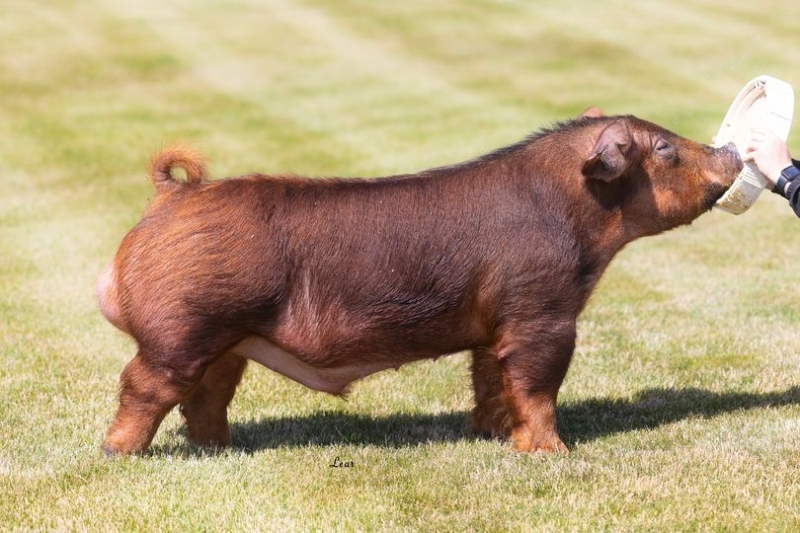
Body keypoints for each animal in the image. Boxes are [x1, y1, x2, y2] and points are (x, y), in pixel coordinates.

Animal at [98, 112, 742, 456]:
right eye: (664, 147)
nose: (732, 151)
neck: (576, 214)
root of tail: (172, 196)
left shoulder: (496, 324)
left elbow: (492, 380)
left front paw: (491, 436)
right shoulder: (542, 311)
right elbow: (538, 386)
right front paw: (552, 453)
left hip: (224, 342)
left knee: (205, 396)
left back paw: (221, 449)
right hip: (184, 327)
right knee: (143, 386)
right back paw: (119, 453)